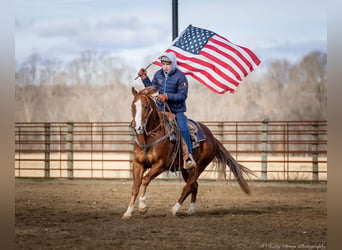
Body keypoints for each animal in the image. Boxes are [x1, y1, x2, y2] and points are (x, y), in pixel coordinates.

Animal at [123, 86, 254, 219]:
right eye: (132, 106)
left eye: (146, 106)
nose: (138, 128)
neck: (149, 138)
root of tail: (212, 138)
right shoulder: (138, 164)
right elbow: (135, 186)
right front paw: (128, 212)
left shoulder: (161, 164)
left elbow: (145, 179)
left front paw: (142, 207)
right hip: (185, 169)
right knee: (194, 186)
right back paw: (191, 209)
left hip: (199, 166)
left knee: (188, 187)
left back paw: (174, 210)